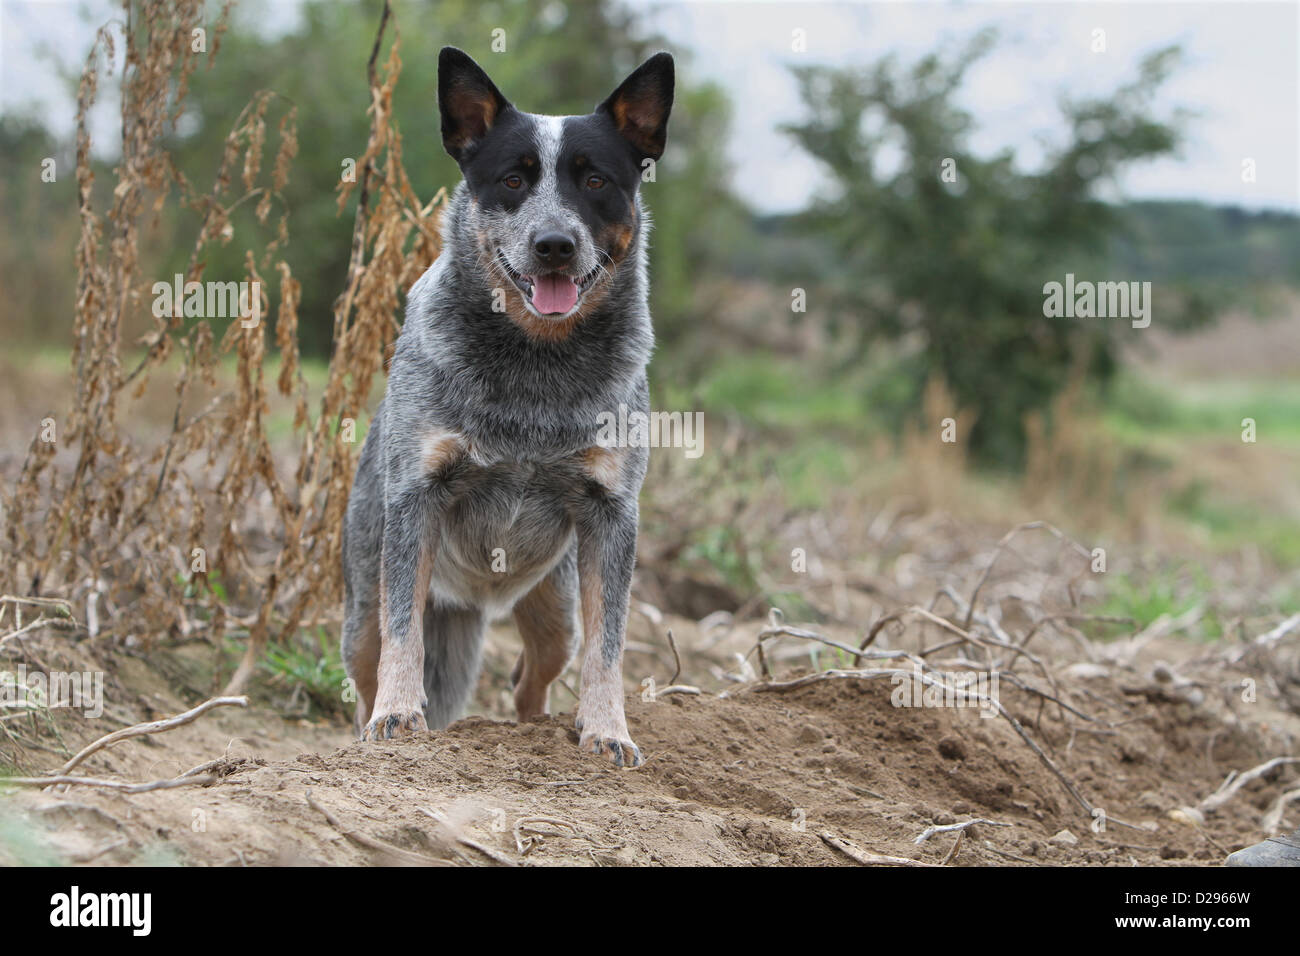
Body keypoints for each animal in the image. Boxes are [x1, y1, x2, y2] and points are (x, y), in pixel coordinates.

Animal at [340, 46, 676, 770]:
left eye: (596, 180)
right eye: (514, 179)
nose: (554, 244)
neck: (535, 366)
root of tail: (472, 597)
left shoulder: (612, 514)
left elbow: (610, 647)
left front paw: (609, 731)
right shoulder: (417, 499)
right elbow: (404, 632)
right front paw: (397, 717)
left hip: (555, 610)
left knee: (533, 679)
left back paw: (543, 731)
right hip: (360, 606)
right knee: (368, 663)